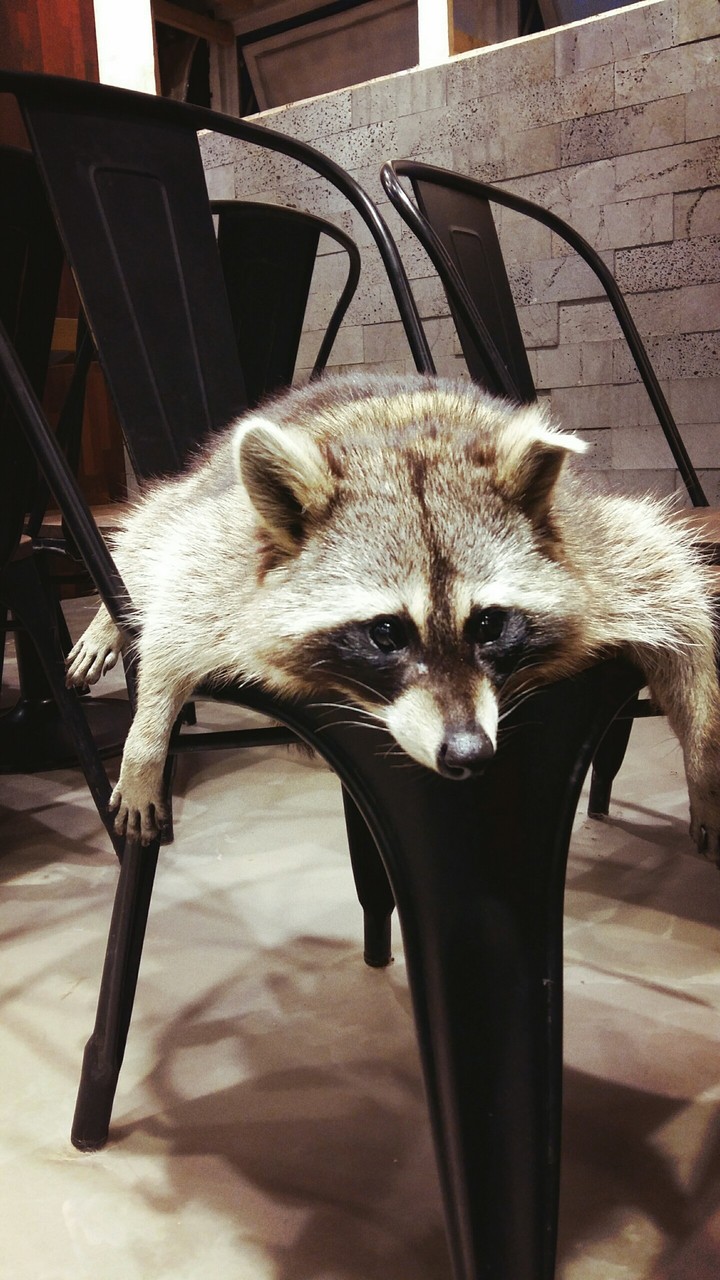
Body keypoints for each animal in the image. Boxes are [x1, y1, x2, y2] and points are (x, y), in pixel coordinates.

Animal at [66, 372, 720, 860]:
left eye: (488, 625)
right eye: (386, 634)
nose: (468, 754)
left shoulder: (595, 552)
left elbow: (681, 606)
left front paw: (705, 759)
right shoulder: (230, 558)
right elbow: (179, 608)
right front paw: (146, 739)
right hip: (209, 490)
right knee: (156, 531)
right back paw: (107, 617)